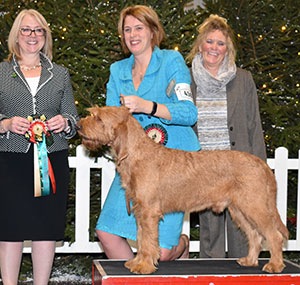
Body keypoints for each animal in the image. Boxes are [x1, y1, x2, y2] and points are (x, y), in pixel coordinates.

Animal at [77, 105, 288, 274]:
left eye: (98, 118)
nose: (78, 126)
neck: (137, 153)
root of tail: (262, 163)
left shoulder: (148, 212)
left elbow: (148, 240)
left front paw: (144, 266)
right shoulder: (139, 210)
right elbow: (141, 238)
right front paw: (137, 262)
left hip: (255, 206)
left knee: (273, 235)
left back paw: (275, 265)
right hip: (239, 210)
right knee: (254, 235)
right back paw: (250, 260)